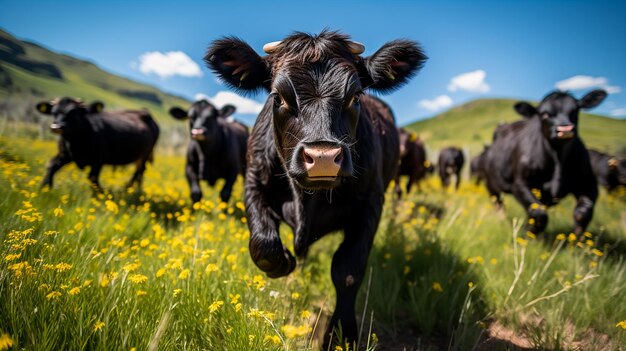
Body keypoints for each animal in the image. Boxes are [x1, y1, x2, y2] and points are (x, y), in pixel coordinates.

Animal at [205, 31, 424, 350]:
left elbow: (348, 271)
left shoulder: (370, 205)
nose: (322, 157)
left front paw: (341, 335)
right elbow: (264, 246)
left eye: (355, 96)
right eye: (278, 96)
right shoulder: (253, 184)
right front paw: (285, 262)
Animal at [482, 89, 604, 235]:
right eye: (545, 114)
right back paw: (502, 219)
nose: (565, 130)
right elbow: (539, 213)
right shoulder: (520, 184)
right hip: (491, 184)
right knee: (499, 203)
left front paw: (575, 239)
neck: (557, 159)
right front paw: (528, 235)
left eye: (575, 110)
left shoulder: (588, 181)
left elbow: (583, 213)